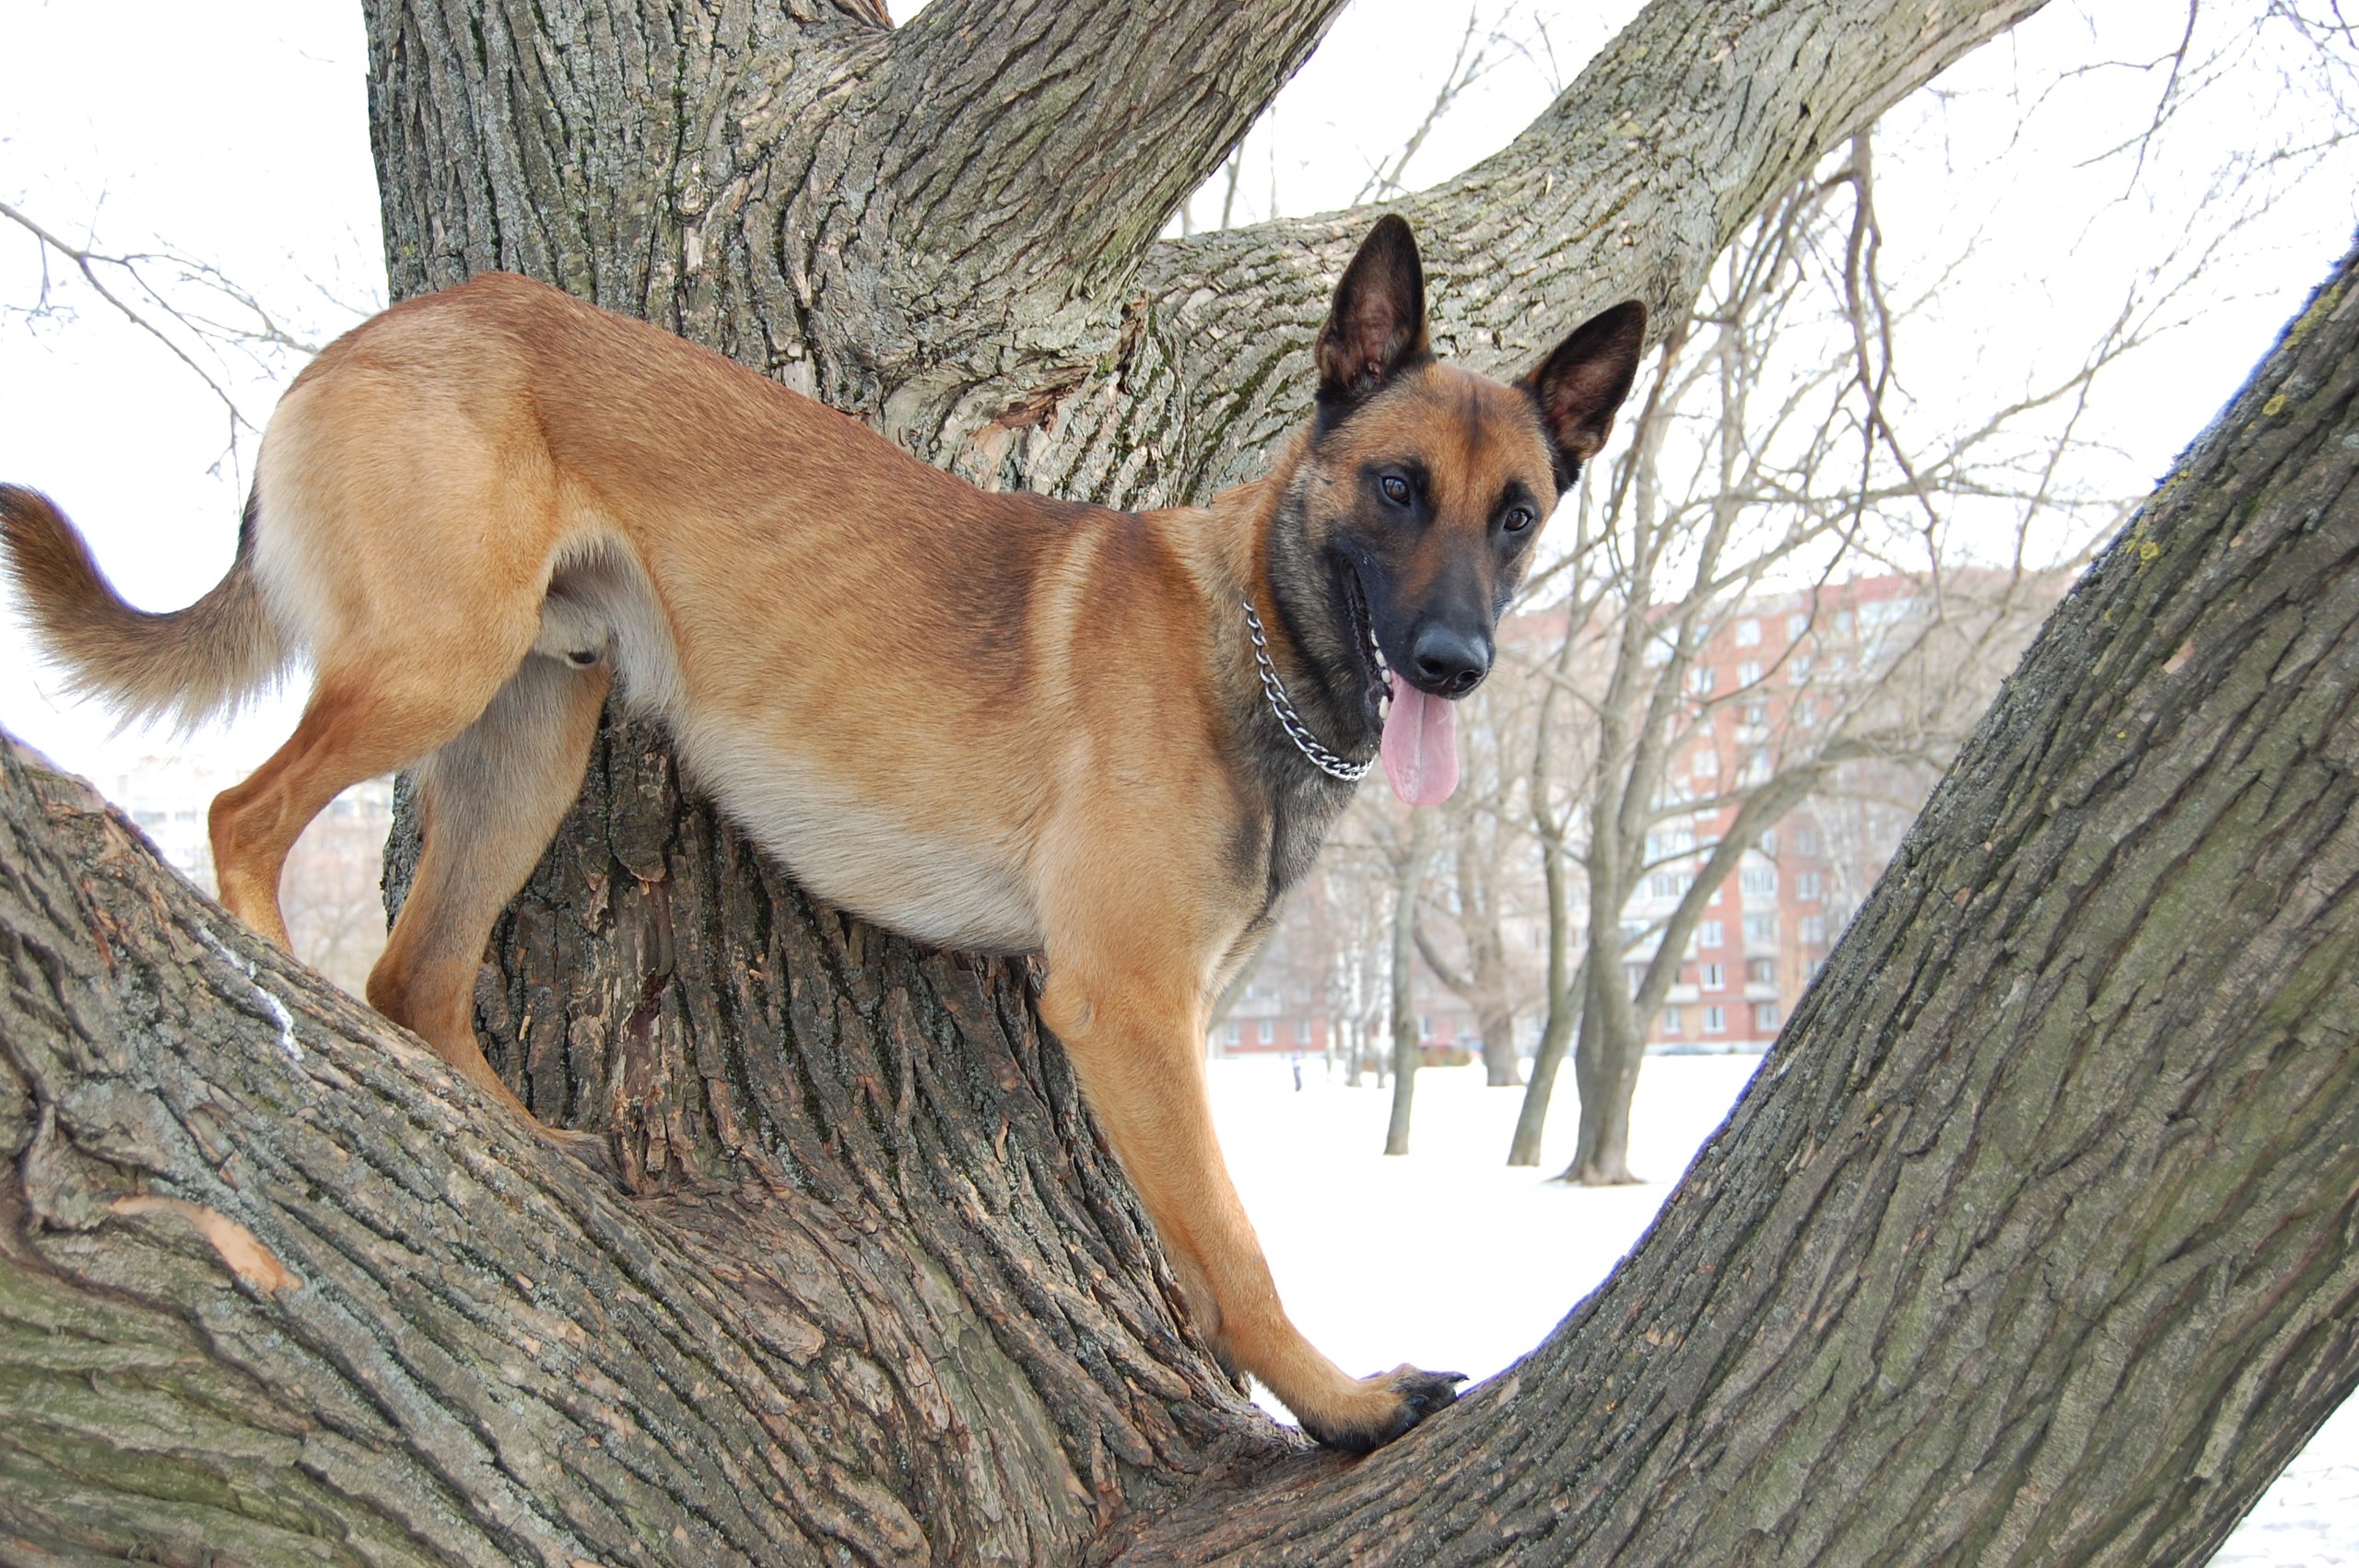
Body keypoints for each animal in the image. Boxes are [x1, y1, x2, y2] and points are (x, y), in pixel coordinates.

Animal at [5, 214, 1641, 1452]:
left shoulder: (1171, 1020)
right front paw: (1341, 1403)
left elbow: (1193, 1238)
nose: (1454, 664)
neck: (1256, 634)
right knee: (242, 817)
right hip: (432, 668)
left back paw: (512, 1138)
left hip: (533, 733)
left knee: (417, 976)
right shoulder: (1126, 1007)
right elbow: (1236, 1245)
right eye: (1397, 487)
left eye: (1517, 515)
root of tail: (373, 331)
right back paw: (275, 1001)